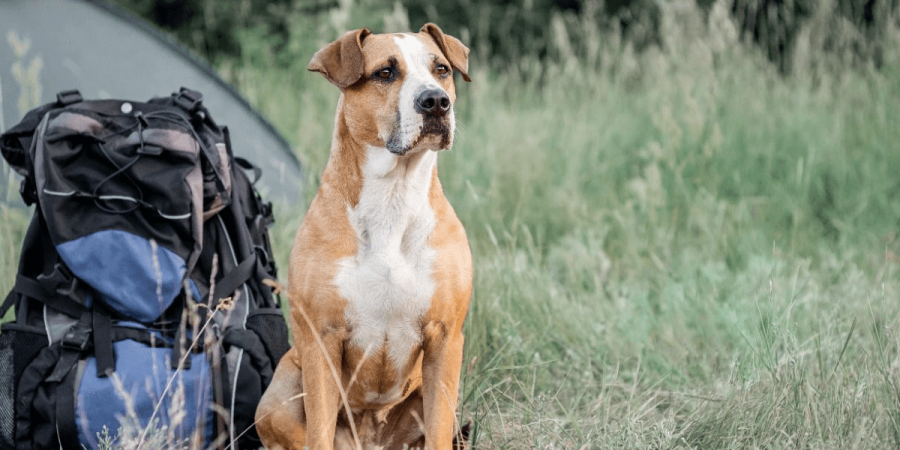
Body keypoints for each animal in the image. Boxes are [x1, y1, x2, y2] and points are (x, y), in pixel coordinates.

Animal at [255, 24, 472, 450]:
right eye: (385, 72)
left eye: (441, 69)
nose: (435, 102)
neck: (393, 197)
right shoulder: (321, 339)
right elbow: (319, 431)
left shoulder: (445, 339)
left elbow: (438, 429)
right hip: (280, 391)